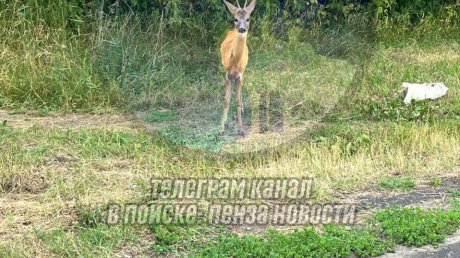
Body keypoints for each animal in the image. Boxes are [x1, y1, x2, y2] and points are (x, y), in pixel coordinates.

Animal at [218, 0, 255, 137]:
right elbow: (226, 101)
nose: (242, 29)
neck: (234, 62)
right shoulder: (228, 75)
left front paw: (241, 129)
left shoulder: (239, 76)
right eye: (235, 19)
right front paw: (221, 129)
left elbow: (238, 102)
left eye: (248, 18)